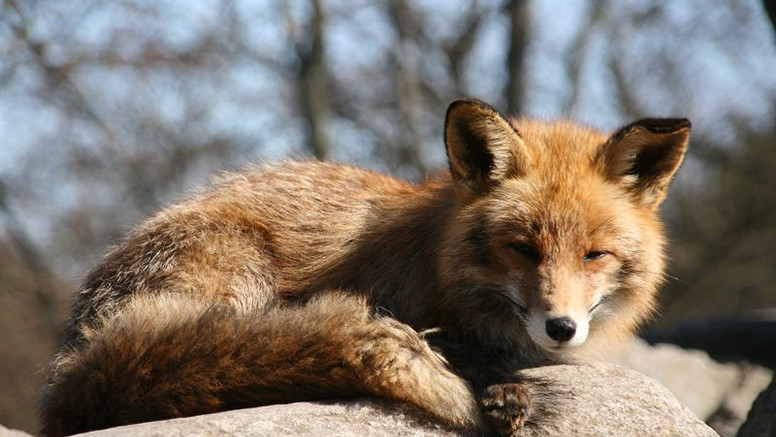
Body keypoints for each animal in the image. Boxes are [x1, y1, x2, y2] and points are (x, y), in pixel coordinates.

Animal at [39, 99, 688, 436]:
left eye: (594, 254)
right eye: (522, 249)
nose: (561, 328)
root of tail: (70, 365)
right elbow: (454, 352)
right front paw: (499, 389)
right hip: (238, 267)